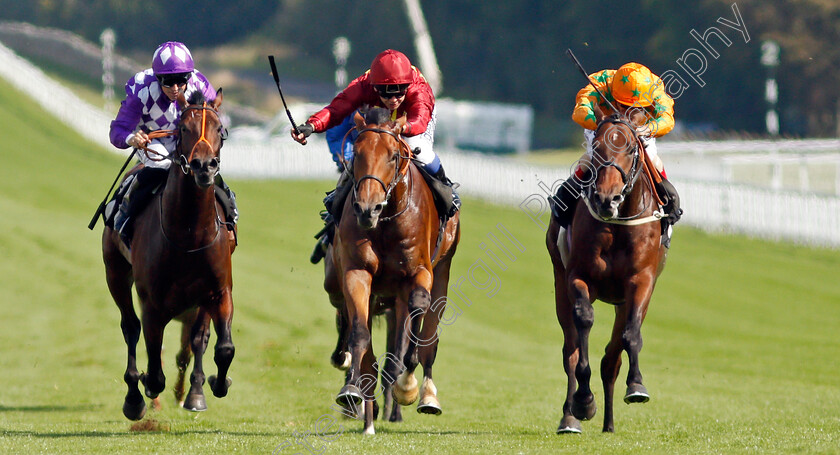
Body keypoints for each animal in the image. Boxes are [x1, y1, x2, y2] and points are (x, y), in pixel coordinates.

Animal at [105, 91, 238, 422]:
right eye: (184, 129)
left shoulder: (218, 292)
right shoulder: (152, 301)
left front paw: (214, 384)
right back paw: (134, 397)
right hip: (115, 272)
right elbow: (153, 363)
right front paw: (146, 389)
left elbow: (222, 347)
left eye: (219, 129)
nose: (204, 166)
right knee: (130, 327)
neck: (189, 234)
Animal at [326, 108, 462, 436]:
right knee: (348, 320)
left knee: (429, 334)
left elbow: (415, 321)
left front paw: (407, 385)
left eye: (392, 156)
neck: (386, 221)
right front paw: (351, 390)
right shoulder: (356, 272)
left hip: (442, 272)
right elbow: (359, 333)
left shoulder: (418, 274)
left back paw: (426, 395)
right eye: (357, 153)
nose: (367, 208)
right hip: (339, 283)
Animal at [544, 108, 668, 434]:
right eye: (598, 148)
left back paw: (609, 424)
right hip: (559, 283)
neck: (617, 223)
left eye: (632, 148)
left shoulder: (642, 281)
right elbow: (584, 323)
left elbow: (630, 335)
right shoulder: (578, 276)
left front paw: (636, 386)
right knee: (571, 351)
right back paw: (570, 417)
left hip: (622, 301)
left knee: (612, 359)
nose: (606, 199)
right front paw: (584, 400)